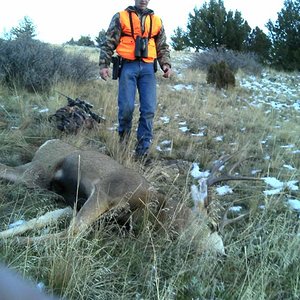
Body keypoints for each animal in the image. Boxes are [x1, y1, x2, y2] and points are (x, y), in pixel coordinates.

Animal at [0, 139, 262, 254]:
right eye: (212, 225)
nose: (222, 254)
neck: (154, 208)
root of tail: (46, 143)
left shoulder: (76, 204)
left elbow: (41, 221)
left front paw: (7, 236)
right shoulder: (105, 192)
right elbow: (72, 233)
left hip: (38, 179)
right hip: (37, 172)